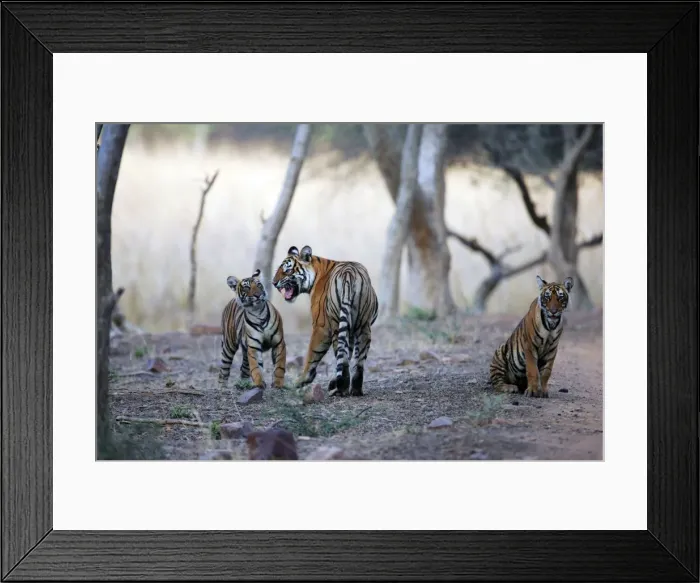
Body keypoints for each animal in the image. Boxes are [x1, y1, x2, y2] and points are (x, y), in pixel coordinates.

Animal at [271, 245, 378, 397]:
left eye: (288, 270)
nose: (274, 283)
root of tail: (349, 274)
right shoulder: (351, 329)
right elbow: (349, 353)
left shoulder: (320, 326)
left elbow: (312, 354)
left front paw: (300, 381)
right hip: (363, 326)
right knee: (357, 361)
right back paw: (355, 389)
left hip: (336, 324)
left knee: (342, 358)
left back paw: (341, 389)